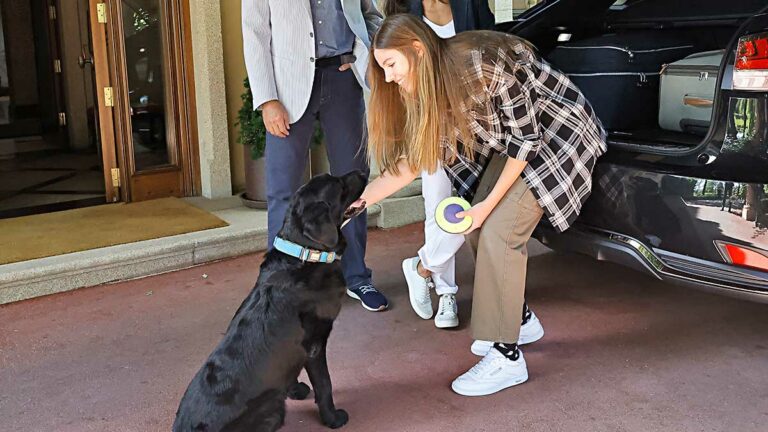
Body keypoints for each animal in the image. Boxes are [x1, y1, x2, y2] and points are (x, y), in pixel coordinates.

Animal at [174, 170, 366, 430]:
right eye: (339, 185)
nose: (363, 171)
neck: (306, 254)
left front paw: (294, 389)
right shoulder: (314, 346)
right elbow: (325, 384)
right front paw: (333, 418)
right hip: (273, 407)